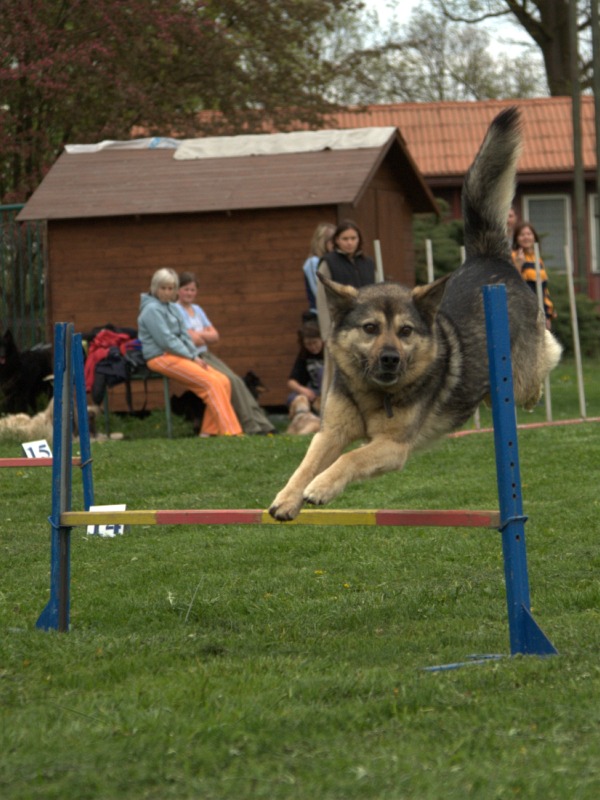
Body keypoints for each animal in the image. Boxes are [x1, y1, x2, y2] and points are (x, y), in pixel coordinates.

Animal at [270, 108, 560, 520]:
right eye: (370, 328)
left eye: (406, 331)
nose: (390, 359)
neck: (375, 394)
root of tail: (489, 258)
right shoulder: (331, 432)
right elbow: (308, 461)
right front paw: (288, 497)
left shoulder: (393, 447)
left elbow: (349, 459)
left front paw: (321, 488)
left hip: (520, 379)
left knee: (542, 365)